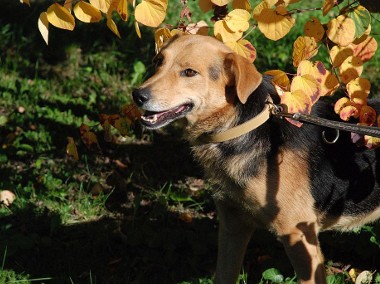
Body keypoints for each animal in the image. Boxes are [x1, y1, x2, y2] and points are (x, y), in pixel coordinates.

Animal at [131, 34, 380, 282]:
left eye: (189, 72)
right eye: (158, 62)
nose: (137, 95)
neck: (241, 127)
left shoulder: (299, 234)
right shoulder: (233, 225)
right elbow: (224, 274)